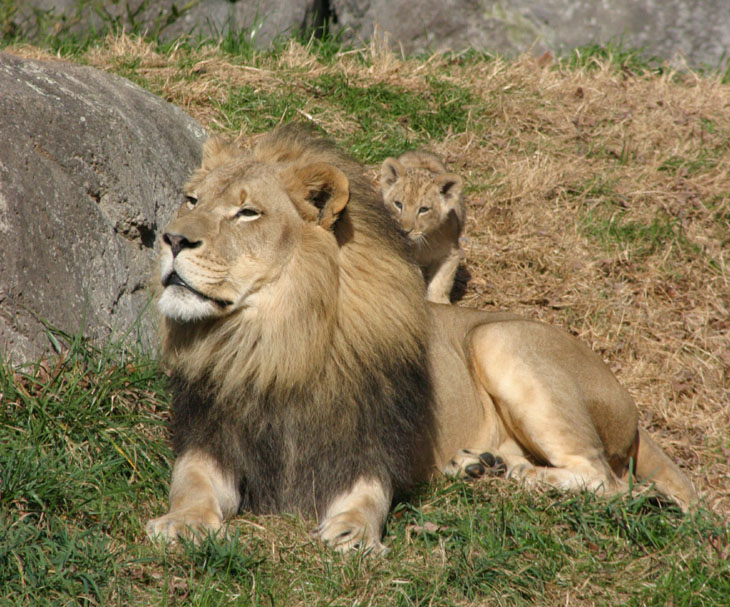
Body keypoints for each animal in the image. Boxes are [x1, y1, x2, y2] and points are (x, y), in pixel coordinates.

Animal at [146, 126, 692, 552]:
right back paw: (482, 466)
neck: (275, 341)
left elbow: (367, 497)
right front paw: (181, 525)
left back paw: (523, 476)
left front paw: (352, 533)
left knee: (607, 479)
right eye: (192, 199)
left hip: (500, 339)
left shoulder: (367, 446)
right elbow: (191, 486)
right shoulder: (209, 438)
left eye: (247, 214)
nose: (171, 238)